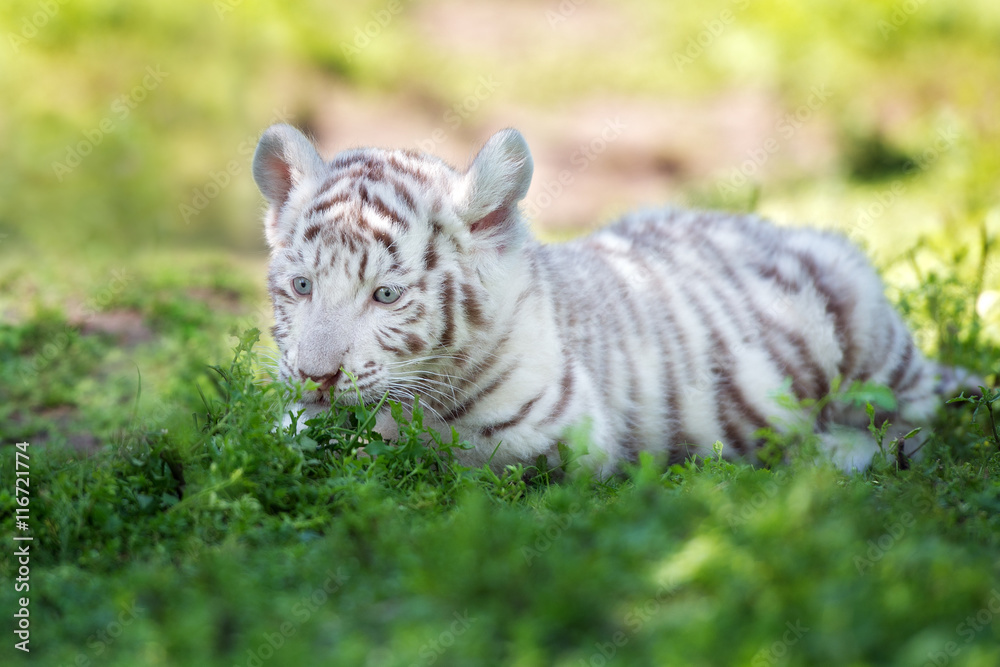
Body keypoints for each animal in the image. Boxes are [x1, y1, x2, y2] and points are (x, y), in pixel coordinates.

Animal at [251, 123, 968, 475]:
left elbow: (430, 445)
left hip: (873, 339)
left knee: (918, 422)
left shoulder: (555, 430)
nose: (316, 375)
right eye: (303, 285)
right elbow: (302, 428)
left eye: (386, 294)